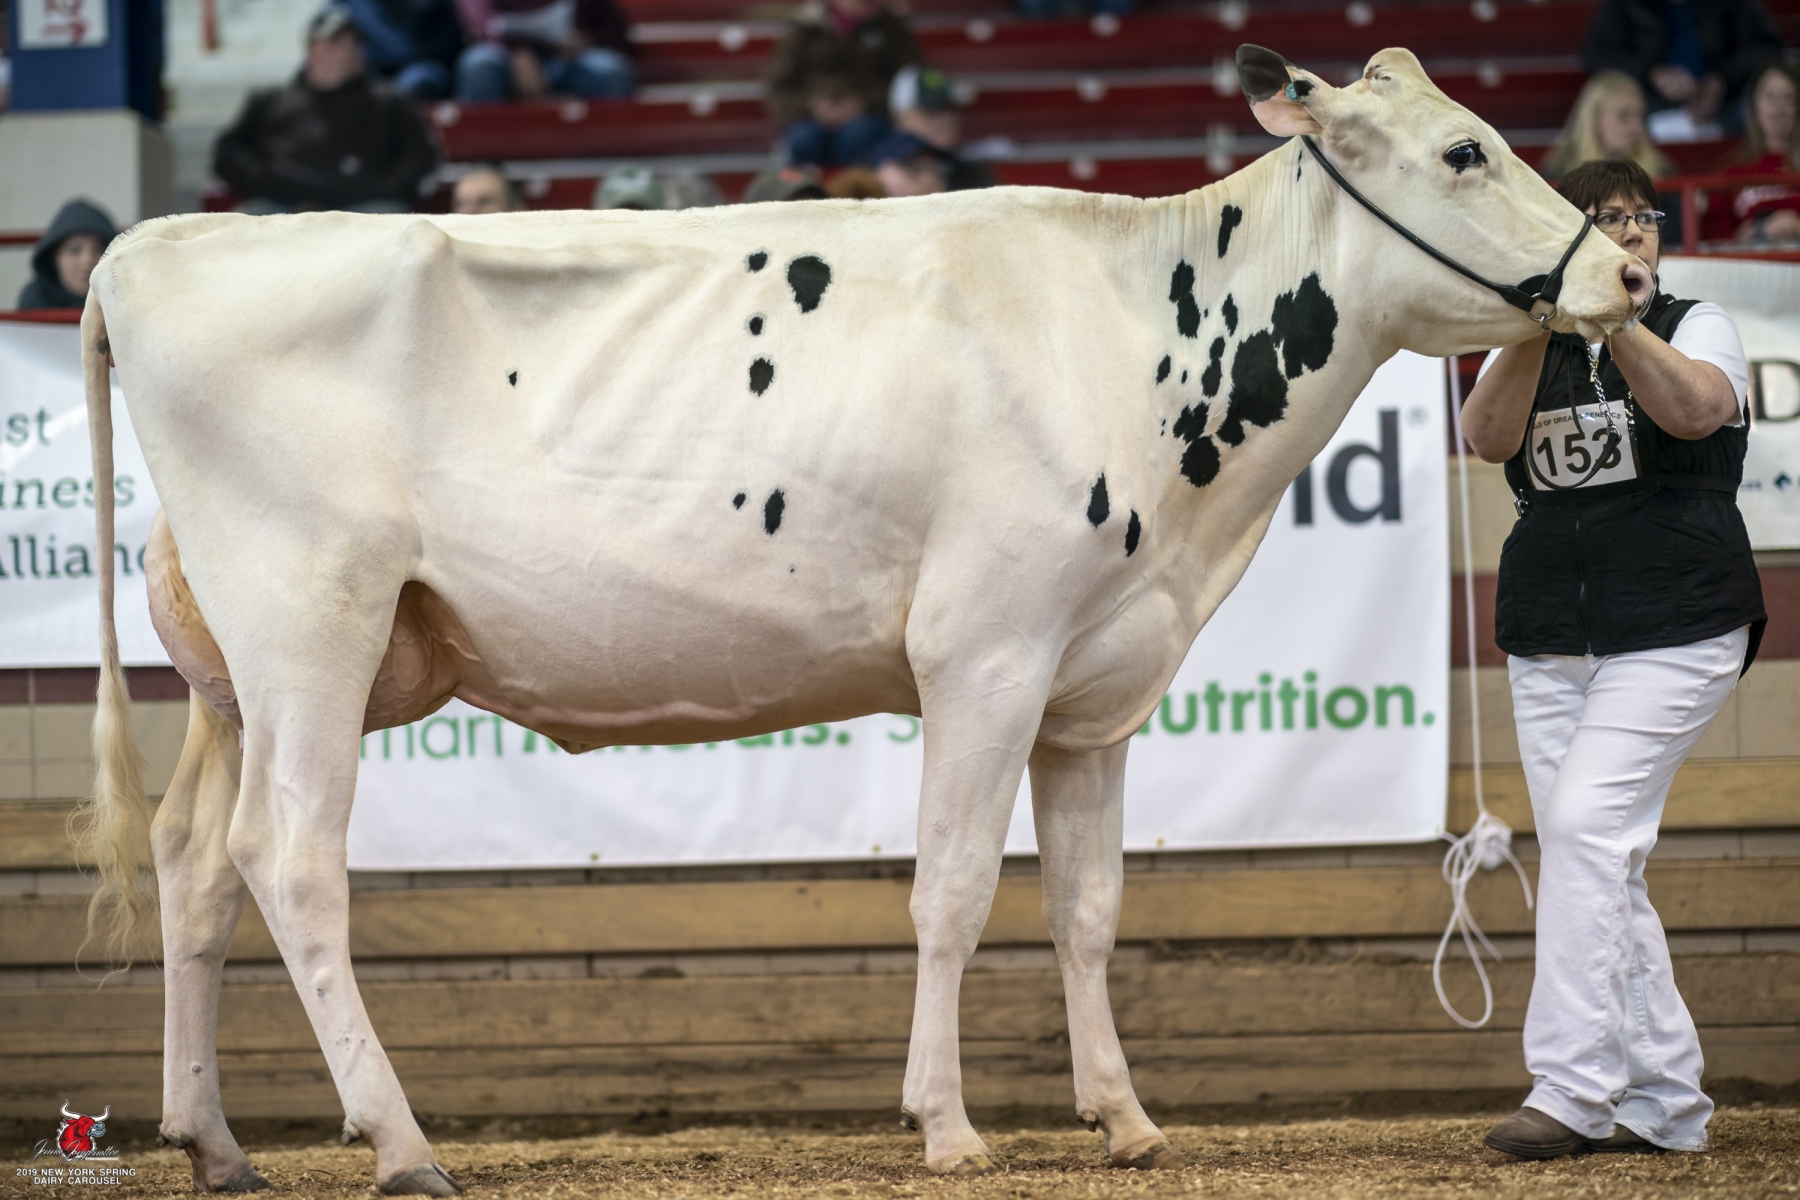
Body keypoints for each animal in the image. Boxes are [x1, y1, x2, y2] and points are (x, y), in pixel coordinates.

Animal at [76, 46, 1649, 1194]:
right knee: (291, 863)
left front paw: (1125, 1116)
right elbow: (951, 893)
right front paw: (948, 1126)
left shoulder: (1094, 688)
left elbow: (1087, 909)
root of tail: (149, 247)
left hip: (237, 678)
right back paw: (401, 1145)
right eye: (1466, 150)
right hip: (313, 631)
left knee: (194, 859)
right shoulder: (985, 653)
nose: (1632, 272)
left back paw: (214, 1143)